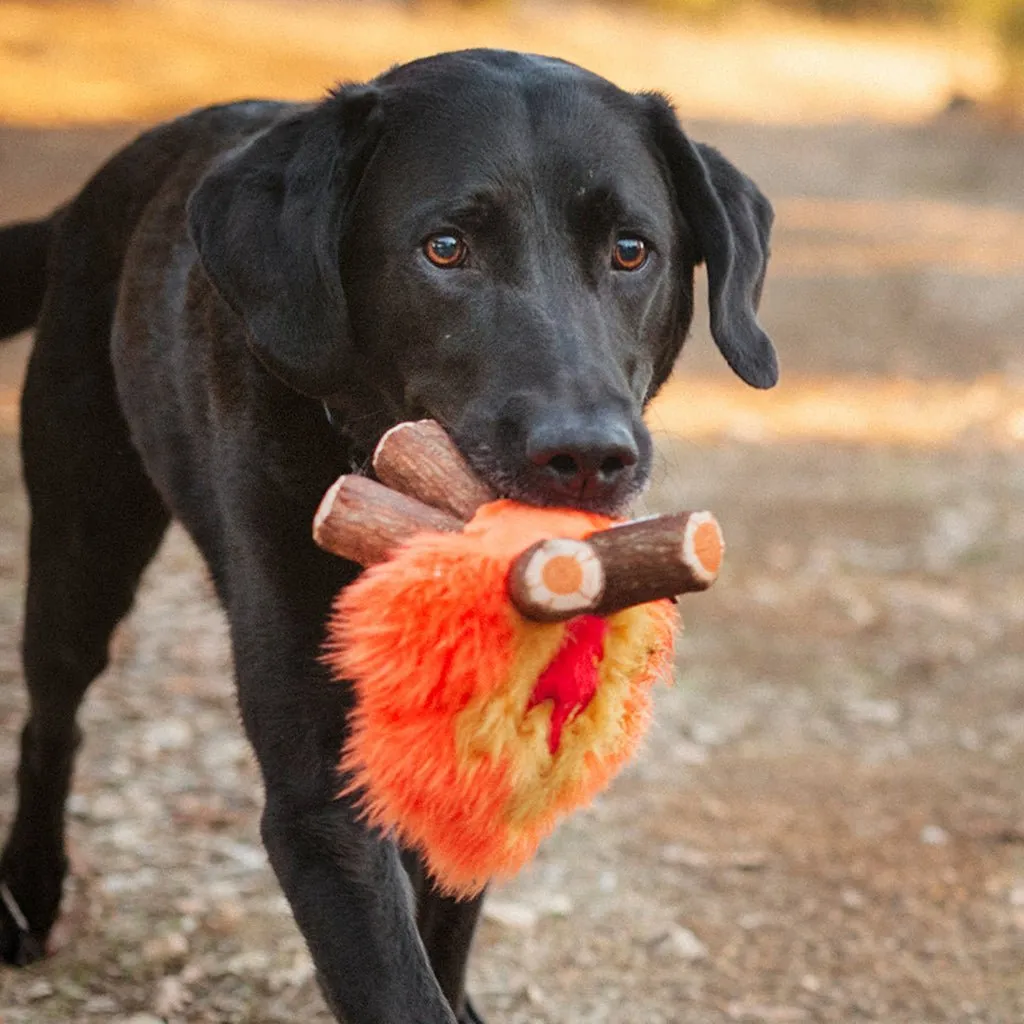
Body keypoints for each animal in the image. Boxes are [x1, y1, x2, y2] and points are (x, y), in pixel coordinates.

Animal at [0, 51, 770, 1024]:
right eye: (445, 248)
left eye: (631, 250)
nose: (590, 456)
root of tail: (92, 193)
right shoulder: (318, 799)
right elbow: (395, 980)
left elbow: (443, 913)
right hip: (85, 535)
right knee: (50, 719)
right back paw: (28, 895)